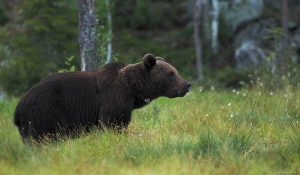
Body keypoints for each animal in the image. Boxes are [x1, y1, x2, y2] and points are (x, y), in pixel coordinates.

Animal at [14, 54, 191, 143]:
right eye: (171, 74)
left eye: (176, 71)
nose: (187, 84)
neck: (132, 89)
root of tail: (17, 110)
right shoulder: (113, 97)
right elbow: (113, 122)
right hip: (43, 115)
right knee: (42, 140)